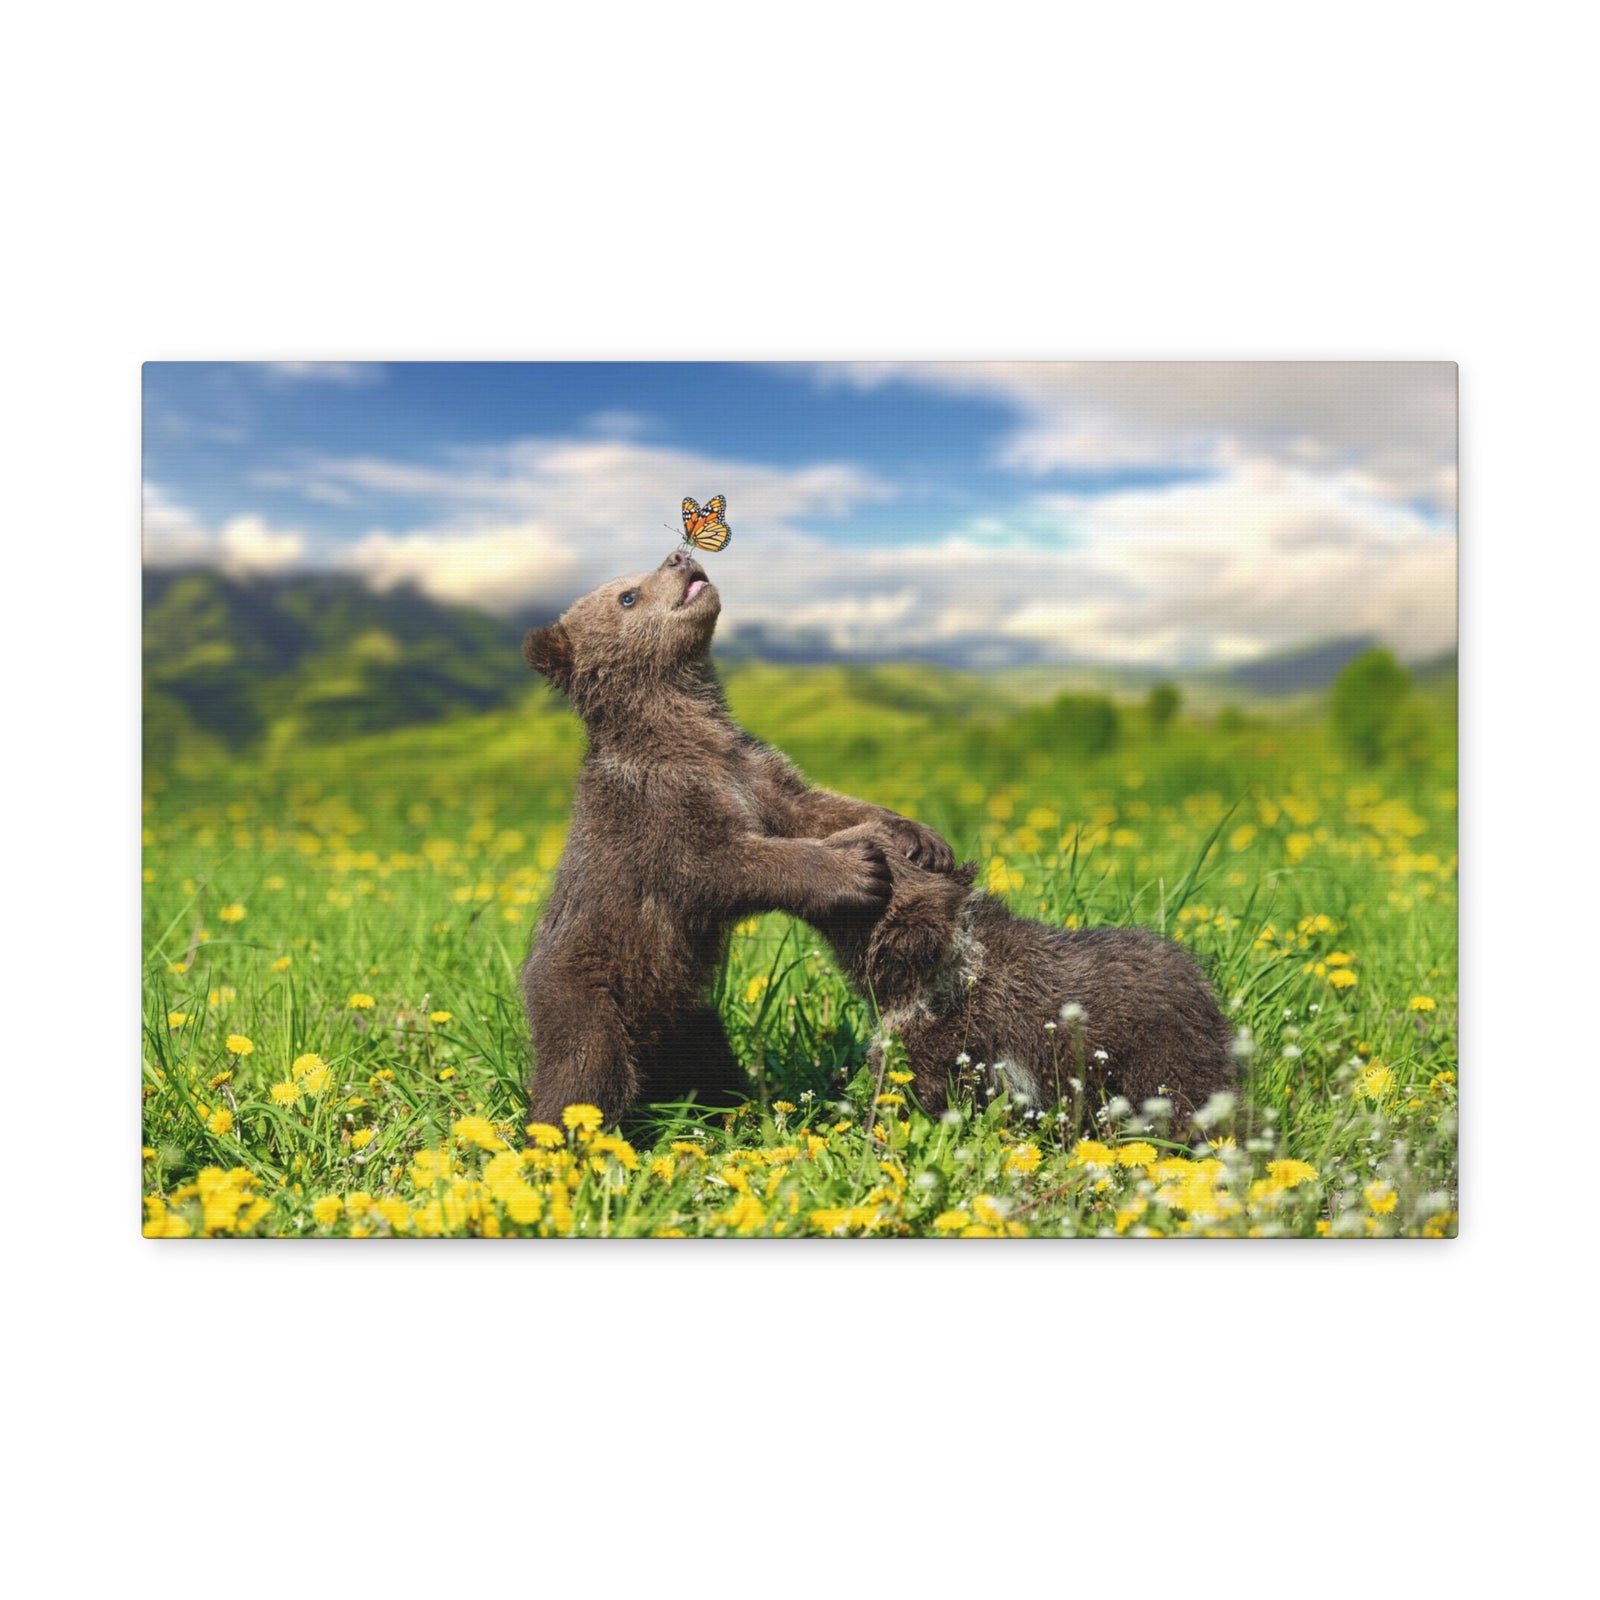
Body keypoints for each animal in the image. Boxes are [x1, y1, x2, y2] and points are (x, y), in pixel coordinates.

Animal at [519, 548, 954, 1129]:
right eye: (627, 595)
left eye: (637, 577)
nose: (678, 556)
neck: (688, 735)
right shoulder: (659, 812)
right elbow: (718, 865)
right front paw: (856, 870)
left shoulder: (754, 773)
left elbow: (815, 808)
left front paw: (919, 835)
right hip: (587, 989)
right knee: (582, 1073)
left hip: (687, 1012)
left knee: (709, 1063)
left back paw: (734, 1108)